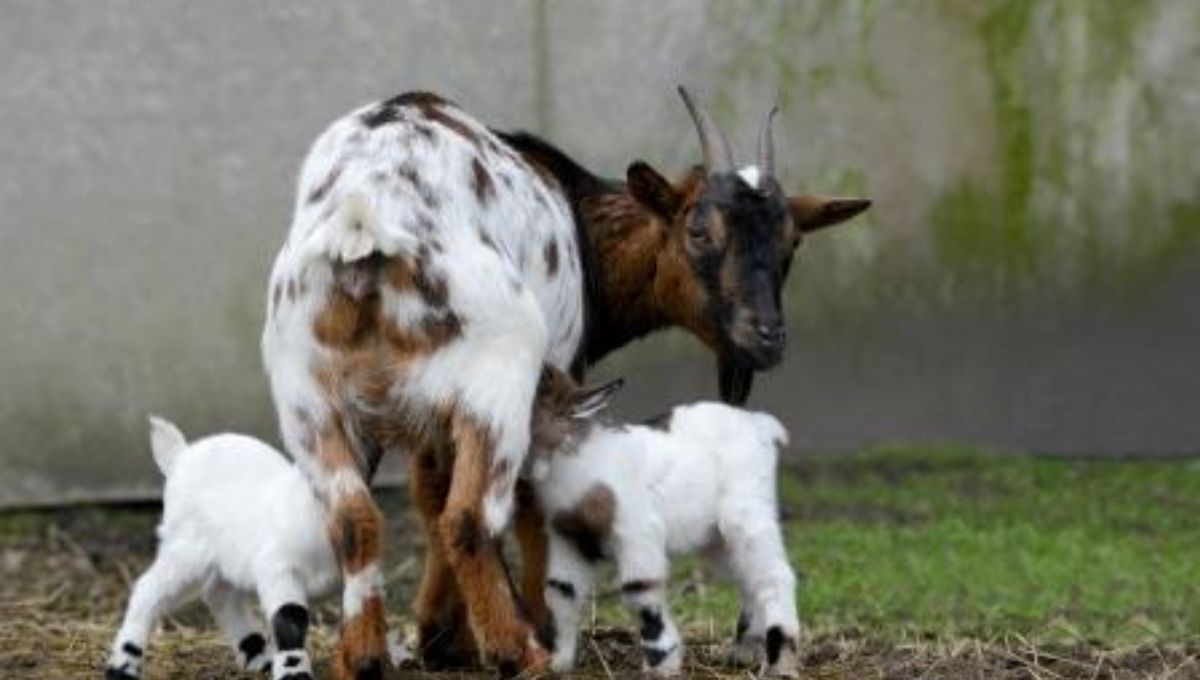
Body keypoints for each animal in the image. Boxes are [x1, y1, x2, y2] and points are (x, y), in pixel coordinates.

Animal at [105, 417, 338, 680]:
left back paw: (258, 654)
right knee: (149, 588)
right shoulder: (278, 568)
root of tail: (181, 454)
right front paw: (293, 673)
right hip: (188, 550)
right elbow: (289, 617)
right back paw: (123, 665)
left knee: (220, 595)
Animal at [528, 368, 801, 677]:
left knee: (775, 575)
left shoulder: (637, 532)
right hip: (717, 539)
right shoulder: (570, 539)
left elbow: (639, 591)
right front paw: (558, 662)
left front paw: (661, 665)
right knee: (749, 579)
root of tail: (759, 425)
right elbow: (560, 590)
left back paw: (780, 663)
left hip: (747, 511)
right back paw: (745, 651)